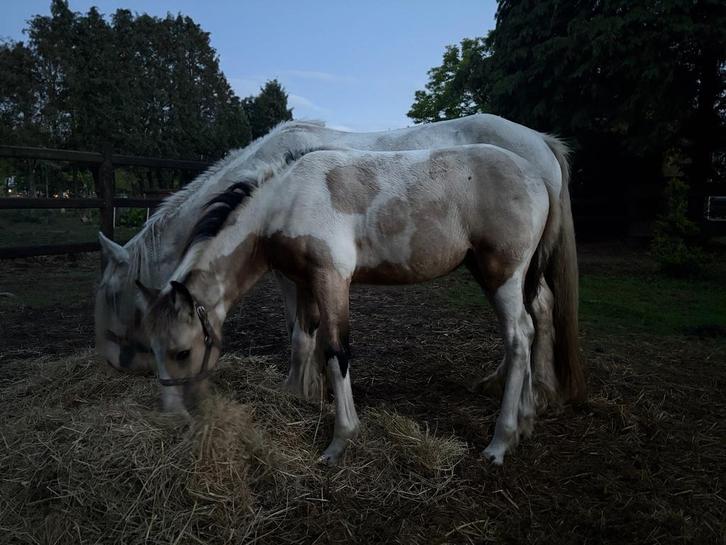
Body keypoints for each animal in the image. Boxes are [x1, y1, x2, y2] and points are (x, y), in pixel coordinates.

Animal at [95, 114, 565, 403]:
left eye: (112, 294)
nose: (116, 365)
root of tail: (540, 141)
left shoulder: (292, 275)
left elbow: (302, 331)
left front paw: (306, 386)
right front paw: (320, 385)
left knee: (533, 314)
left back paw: (536, 388)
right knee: (536, 310)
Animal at [137, 143, 585, 466]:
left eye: (182, 351)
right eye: (152, 348)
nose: (171, 417)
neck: (286, 200)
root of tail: (539, 175)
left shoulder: (332, 278)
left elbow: (337, 351)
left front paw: (340, 441)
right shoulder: (305, 283)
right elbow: (304, 339)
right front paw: (298, 396)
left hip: (503, 274)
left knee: (519, 336)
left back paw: (500, 442)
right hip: (507, 274)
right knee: (535, 322)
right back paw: (525, 421)